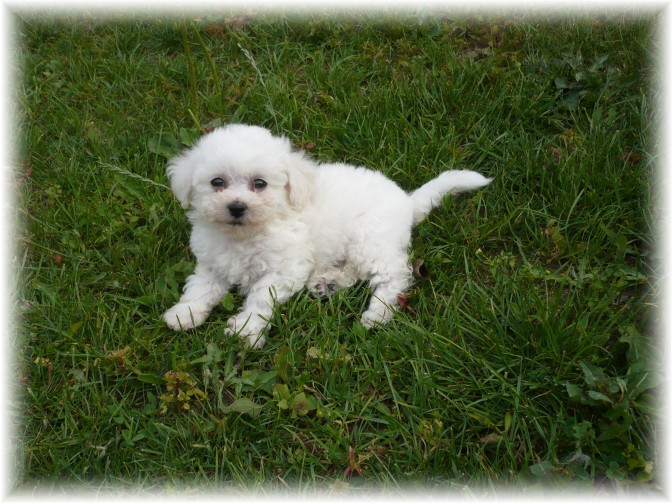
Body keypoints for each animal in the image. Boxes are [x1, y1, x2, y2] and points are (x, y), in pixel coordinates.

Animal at [163, 124, 491, 348]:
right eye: (217, 182)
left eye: (260, 183)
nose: (236, 207)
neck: (243, 235)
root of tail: (408, 203)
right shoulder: (212, 265)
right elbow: (200, 288)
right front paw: (185, 313)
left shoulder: (284, 269)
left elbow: (260, 297)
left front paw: (246, 329)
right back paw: (328, 283)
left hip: (370, 239)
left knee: (393, 275)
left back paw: (377, 314)